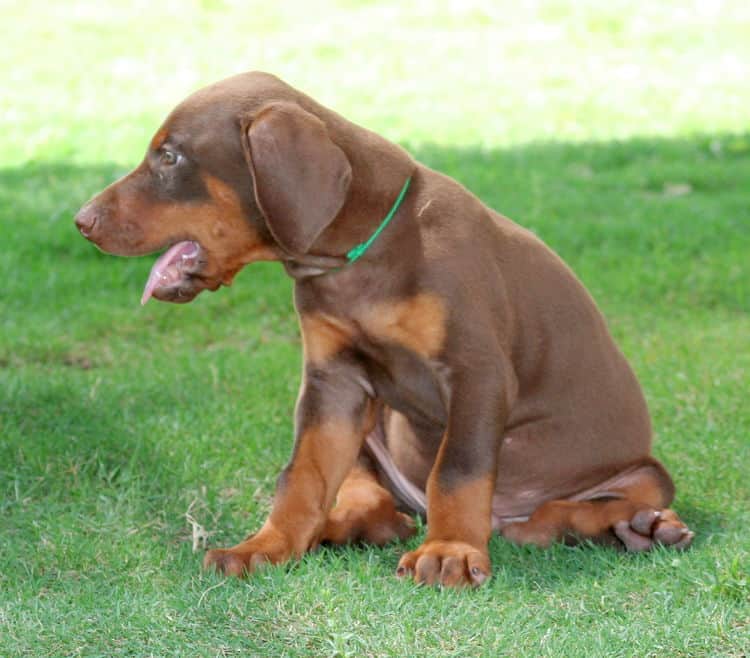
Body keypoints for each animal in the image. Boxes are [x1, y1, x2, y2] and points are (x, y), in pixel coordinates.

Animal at [75, 70, 692, 584]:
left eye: (170, 157)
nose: (82, 220)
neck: (358, 258)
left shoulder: (475, 372)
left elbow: (459, 470)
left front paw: (449, 552)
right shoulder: (332, 382)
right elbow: (301, 475)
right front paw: (267, 546)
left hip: (639, 472)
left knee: (570, 511)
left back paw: (640, 526)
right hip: (369, 437)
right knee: (374, 508)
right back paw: (336, 529)